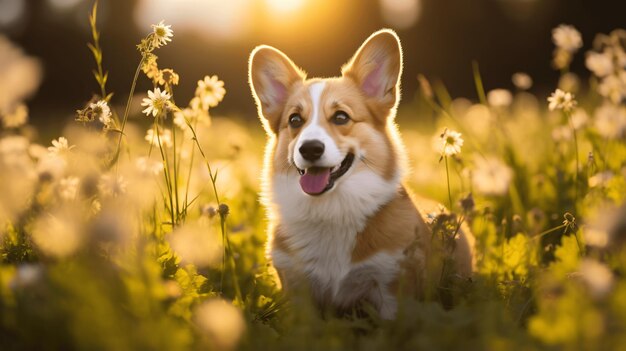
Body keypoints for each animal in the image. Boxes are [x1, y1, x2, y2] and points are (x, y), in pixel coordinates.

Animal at [249, 28, 472, 320]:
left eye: (341, 117)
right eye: (295, 120)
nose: (310, 148)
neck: (331, 210)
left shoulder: (391, 287)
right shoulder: (297, 290)